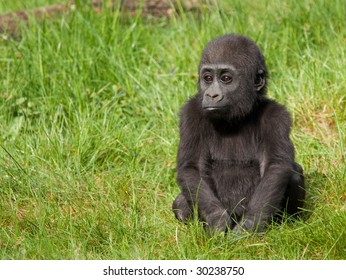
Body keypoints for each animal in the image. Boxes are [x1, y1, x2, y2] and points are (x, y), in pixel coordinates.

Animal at [172, 34, 304, 233]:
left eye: (226, 78)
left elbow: (275, 166)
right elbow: (192, 168)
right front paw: (217, 220)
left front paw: (249, 225)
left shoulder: (276, 116)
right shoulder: (191, 113)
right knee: (180, 202)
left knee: (294, 173)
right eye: (208, 78)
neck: (238, 116)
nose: (211, 95)